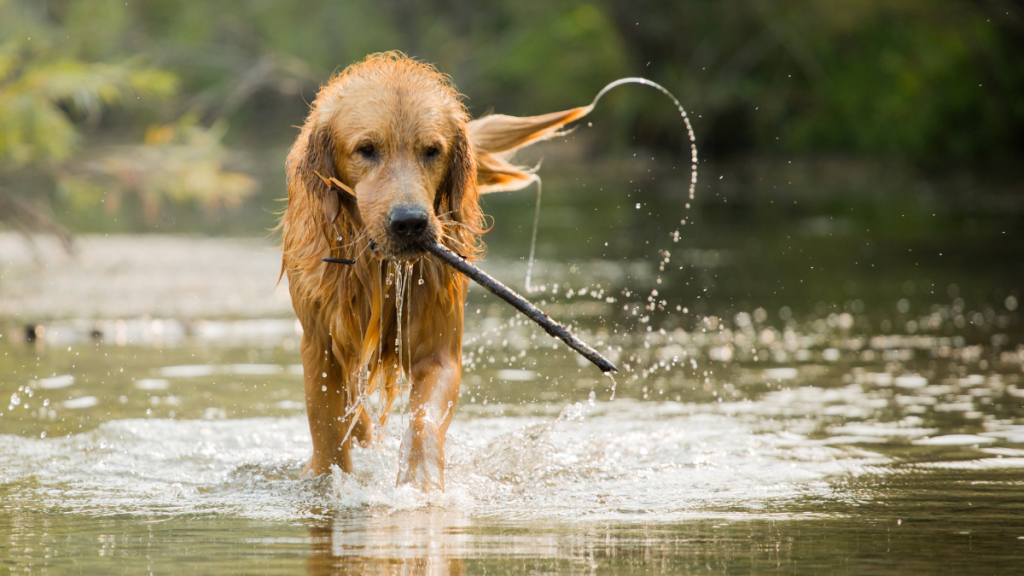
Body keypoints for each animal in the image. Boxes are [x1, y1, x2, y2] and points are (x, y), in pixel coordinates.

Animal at [280, 51, 593, 485]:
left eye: (431, 150)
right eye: (366, 149)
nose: (410, 223)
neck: (380, 270)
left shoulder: (439, 349)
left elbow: (423, 421)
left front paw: (421, 485)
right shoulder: (319, 348)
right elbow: (328, 439)